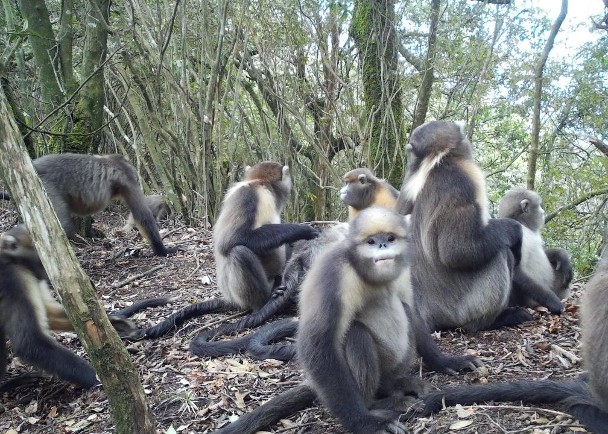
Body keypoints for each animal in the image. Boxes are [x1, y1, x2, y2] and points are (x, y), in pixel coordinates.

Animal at [28, 153, 176, 256]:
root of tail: (35, 165)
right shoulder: (127, 177)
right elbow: (142, 215)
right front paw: (162, 250)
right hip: (45, 187)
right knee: (64, 227)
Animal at [211, 208, 430, 434]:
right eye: (371, 241)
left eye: (390, 238)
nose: (382, 245)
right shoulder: (335, 272)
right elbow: (317, 344)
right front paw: (364, 422)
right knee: (356, 332)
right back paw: (377, 402)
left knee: (405, 310)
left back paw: (394, 385)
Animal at [214, 163, 318, 312]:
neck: (260, 183)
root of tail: (230, 298)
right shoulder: (248, 195)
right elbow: (229, 241)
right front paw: (302, 230)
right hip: (241, 296)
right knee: (239, 252)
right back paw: (266, 300)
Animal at [394, 121, 528, 332]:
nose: (410, 162)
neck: (435, 165)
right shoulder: (459, 182)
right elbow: (456, 252)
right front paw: (514, 231)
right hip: (462, 310)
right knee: (500, 252)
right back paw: (493, 320)